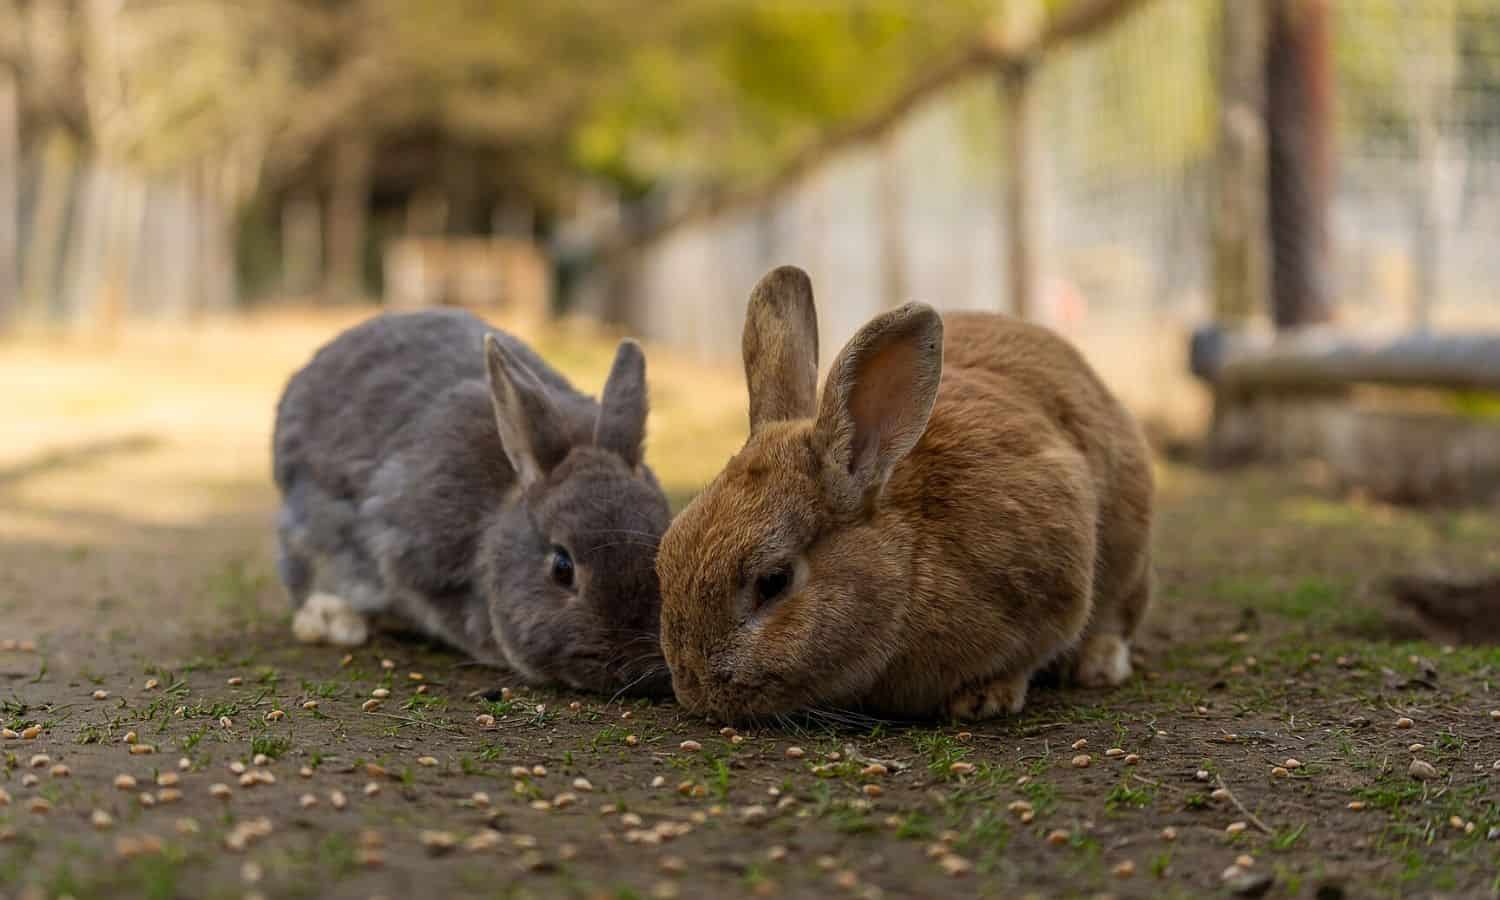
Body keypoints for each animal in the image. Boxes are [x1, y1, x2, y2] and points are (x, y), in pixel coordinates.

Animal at [651, 264, 1152, 720]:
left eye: (773, 581)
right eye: (665, 556)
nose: (693, 687)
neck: (909, 555)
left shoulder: (1058, 570)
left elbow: (1039, 644)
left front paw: (985, 697)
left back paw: (1098, 665)